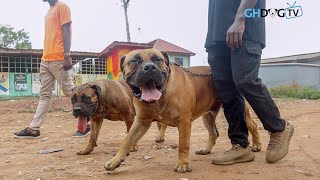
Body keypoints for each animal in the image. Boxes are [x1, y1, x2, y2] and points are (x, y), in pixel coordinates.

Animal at [105, 49, 260, 173]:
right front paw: (115, 161)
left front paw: (183, 164)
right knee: (213, 133)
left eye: (158, 60)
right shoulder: (141, 121)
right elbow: (127, 140)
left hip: (239, 109)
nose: (150, 67)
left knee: (252, 125)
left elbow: (183, 145)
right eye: (134, 61)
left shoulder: (184, 122)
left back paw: (257, 145)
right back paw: (206, 150)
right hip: (207, 116)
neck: (160, 97)